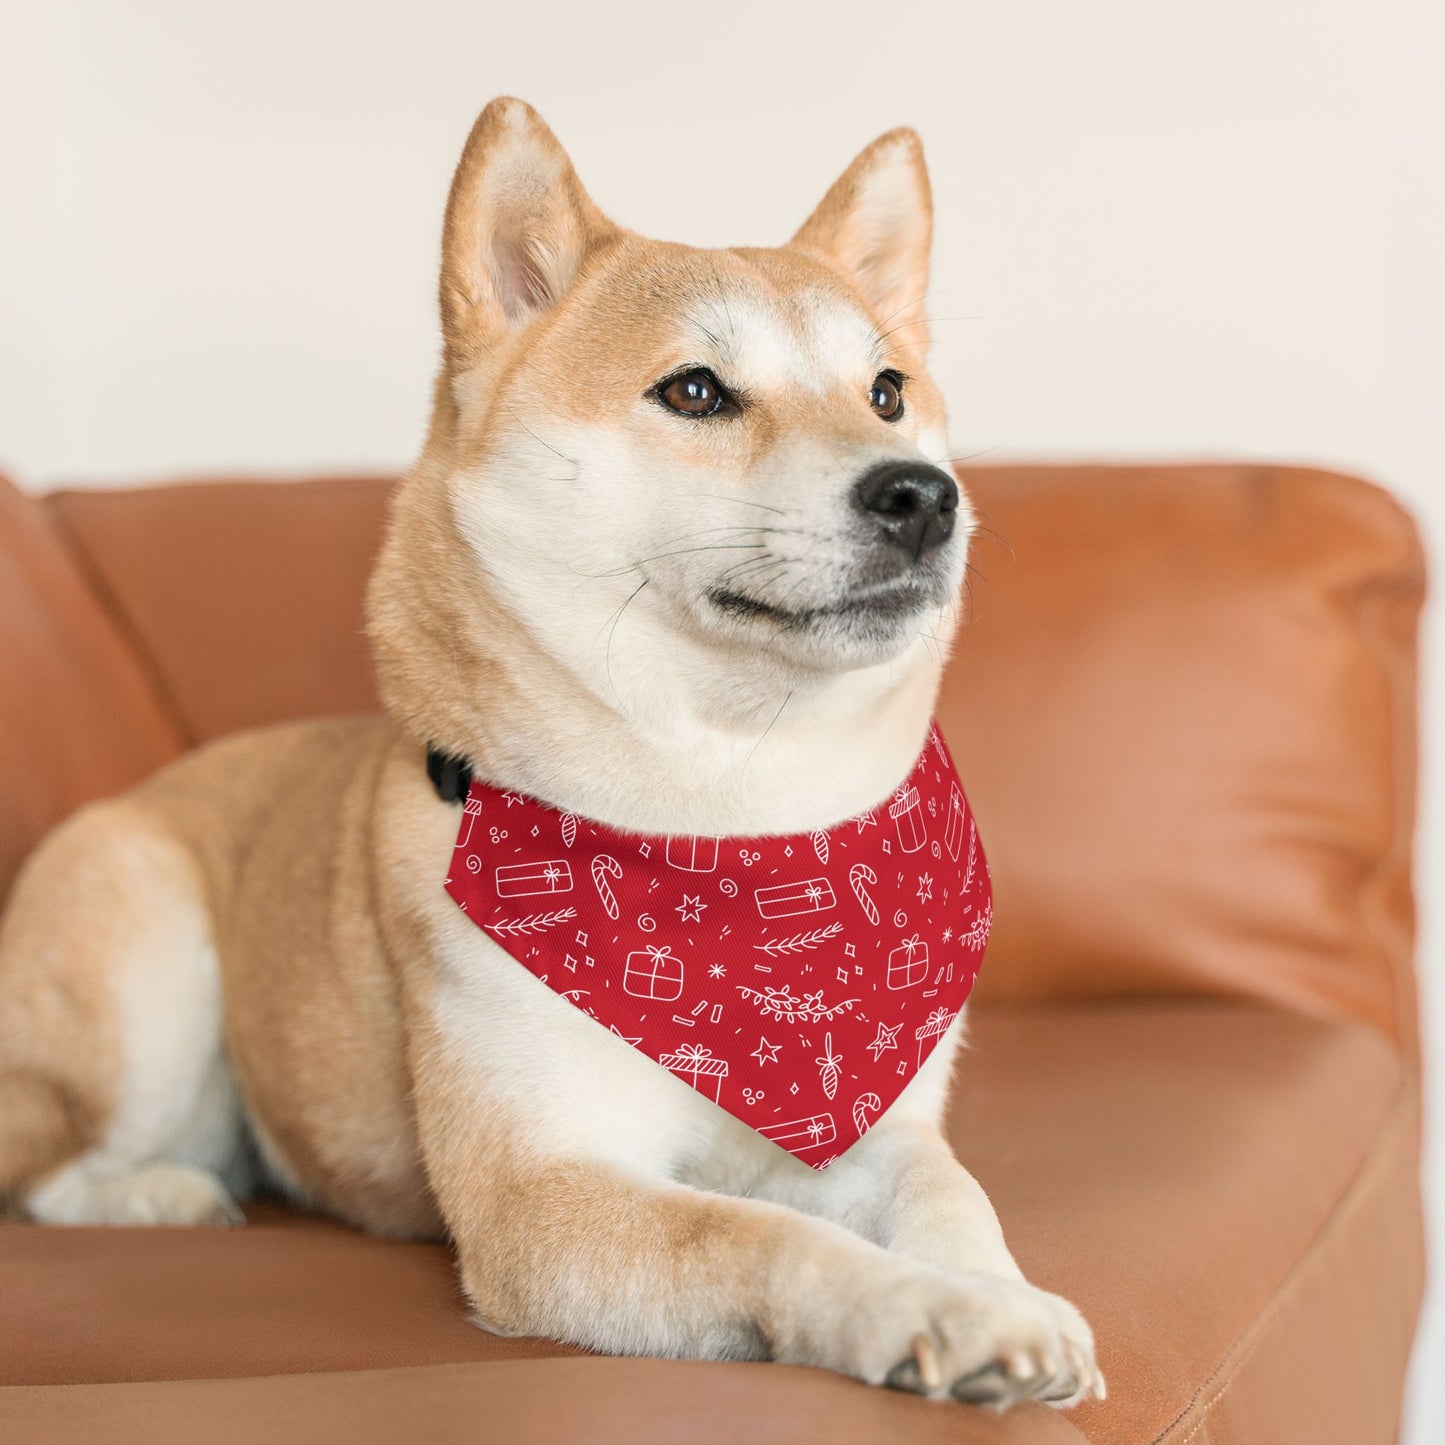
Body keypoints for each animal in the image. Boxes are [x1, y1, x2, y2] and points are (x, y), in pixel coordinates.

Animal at [0, 96, 1098, 1404]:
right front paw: (929, 1308)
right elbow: (765, 1234)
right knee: (48, 1165)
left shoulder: (878, 1122)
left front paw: (1002, 1292)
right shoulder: (541, 1193)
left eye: (886, 390)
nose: (923, 494)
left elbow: (949, 1193)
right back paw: (162, 1192)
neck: (732, 822)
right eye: (694, 390)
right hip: (144, 961)